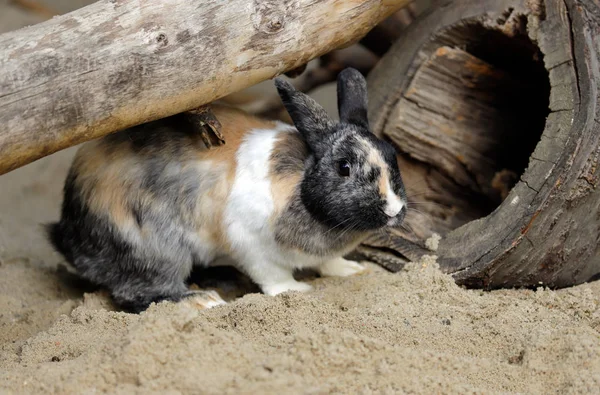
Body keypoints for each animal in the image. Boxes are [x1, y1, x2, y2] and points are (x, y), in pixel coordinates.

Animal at [48, 69, 408, 316]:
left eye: (393, 154)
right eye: (344, 167)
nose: (394, 210)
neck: (303, 186)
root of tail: (70, 235)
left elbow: (330, 262)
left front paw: (352, 271)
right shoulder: (250, 243)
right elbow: (274, 277)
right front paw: (298, 290)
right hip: (153, 250)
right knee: (139, 293)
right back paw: (204, 300)